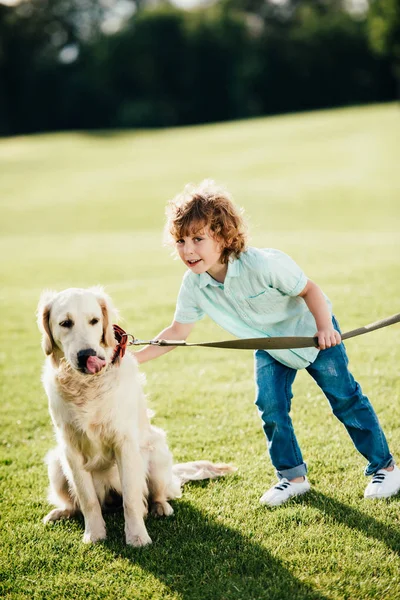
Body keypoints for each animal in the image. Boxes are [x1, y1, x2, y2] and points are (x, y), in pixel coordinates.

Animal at [37, 288, 234, 548]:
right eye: (65, 323)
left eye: (94, 321)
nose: (87, 355)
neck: (87, 386)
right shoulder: (70, 449)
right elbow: (87, 499)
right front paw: (94, 534)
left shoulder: (125, 443)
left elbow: (130, 499)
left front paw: (137, 537)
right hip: (56, 463)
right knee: (77, 503)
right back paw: (61, 512)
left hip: (157, 452)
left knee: (155, 494)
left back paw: (159, 507)